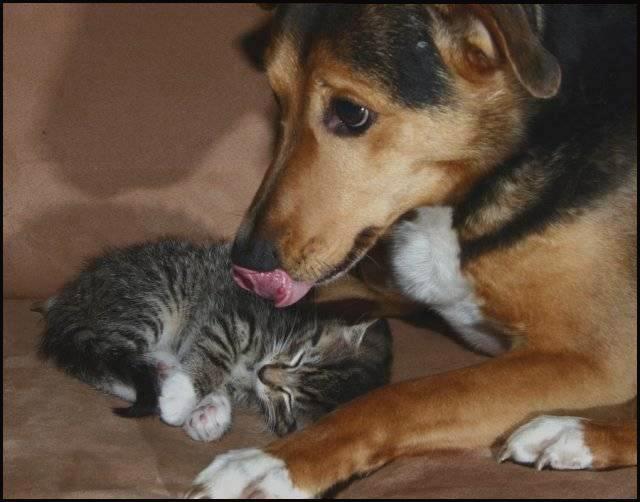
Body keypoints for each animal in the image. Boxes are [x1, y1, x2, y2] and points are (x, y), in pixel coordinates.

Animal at [37, 239, 392, 441]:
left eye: (289, 400)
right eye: (299, 357)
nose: (265, 373)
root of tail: (69, 298)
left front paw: (208, 410)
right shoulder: (233, 315)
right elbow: (214, 354)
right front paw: (181, 399)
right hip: (150, 299)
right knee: (105, 359)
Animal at [189, 5, 637, 498]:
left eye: (351, 112)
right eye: (276, 96)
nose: (245, 261)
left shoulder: (595, 357)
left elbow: (402, 397)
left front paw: (272, 463)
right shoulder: (385, 285)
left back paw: (571, 433)